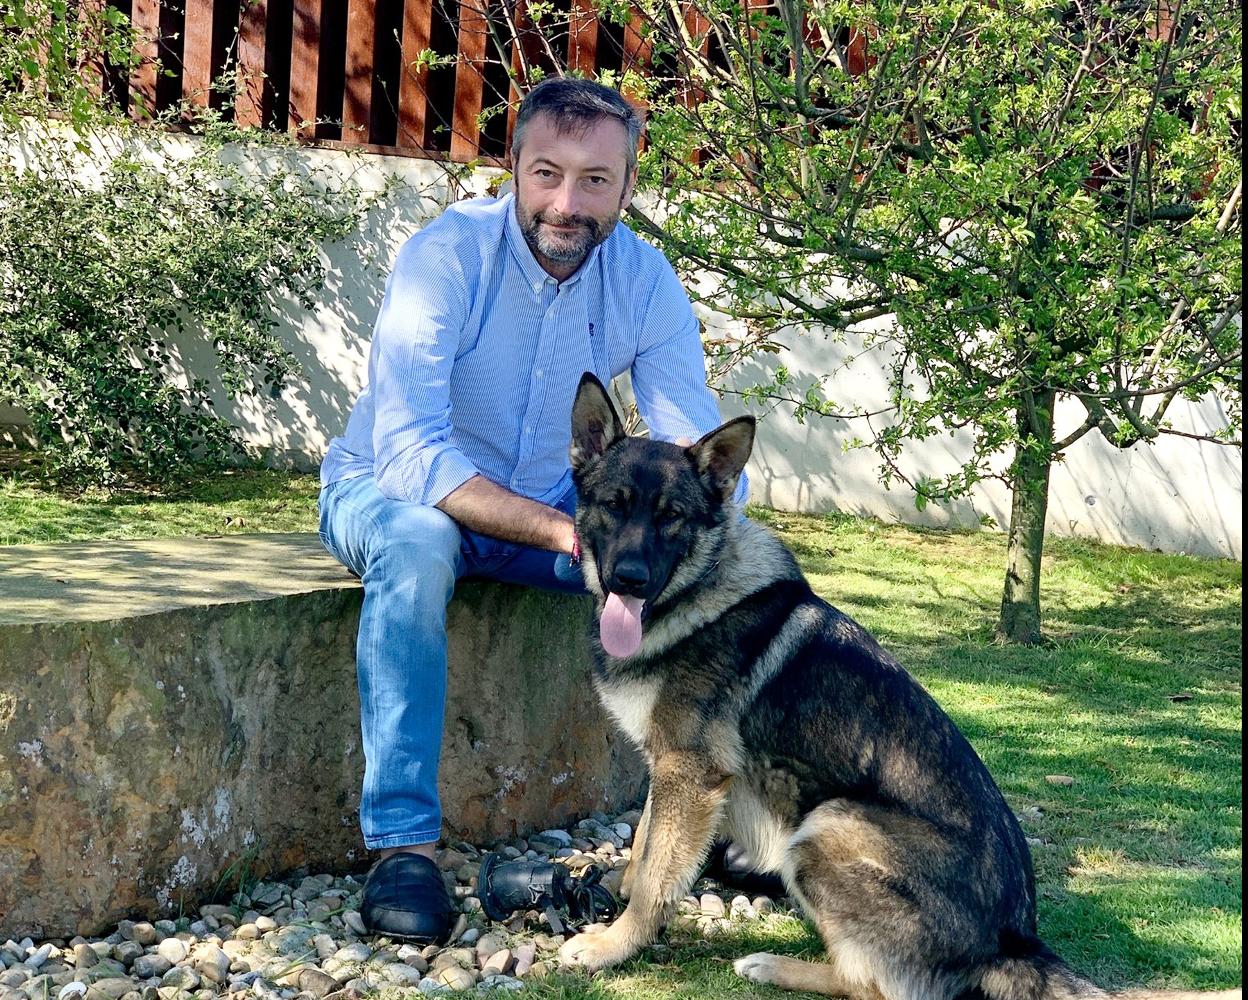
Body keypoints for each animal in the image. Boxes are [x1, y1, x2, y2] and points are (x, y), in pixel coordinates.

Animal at [559, 377, 1238, 998]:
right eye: (615, 505)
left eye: (672, 518)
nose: (630, 579)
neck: (696, 594)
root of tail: (1011, 941)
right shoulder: (672, 771)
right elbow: (646, 846)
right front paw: (617, 889)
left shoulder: (690, 772)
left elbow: (656, 877)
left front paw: (614, 944)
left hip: (825, 825)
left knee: (873, 985)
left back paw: (773, 966)